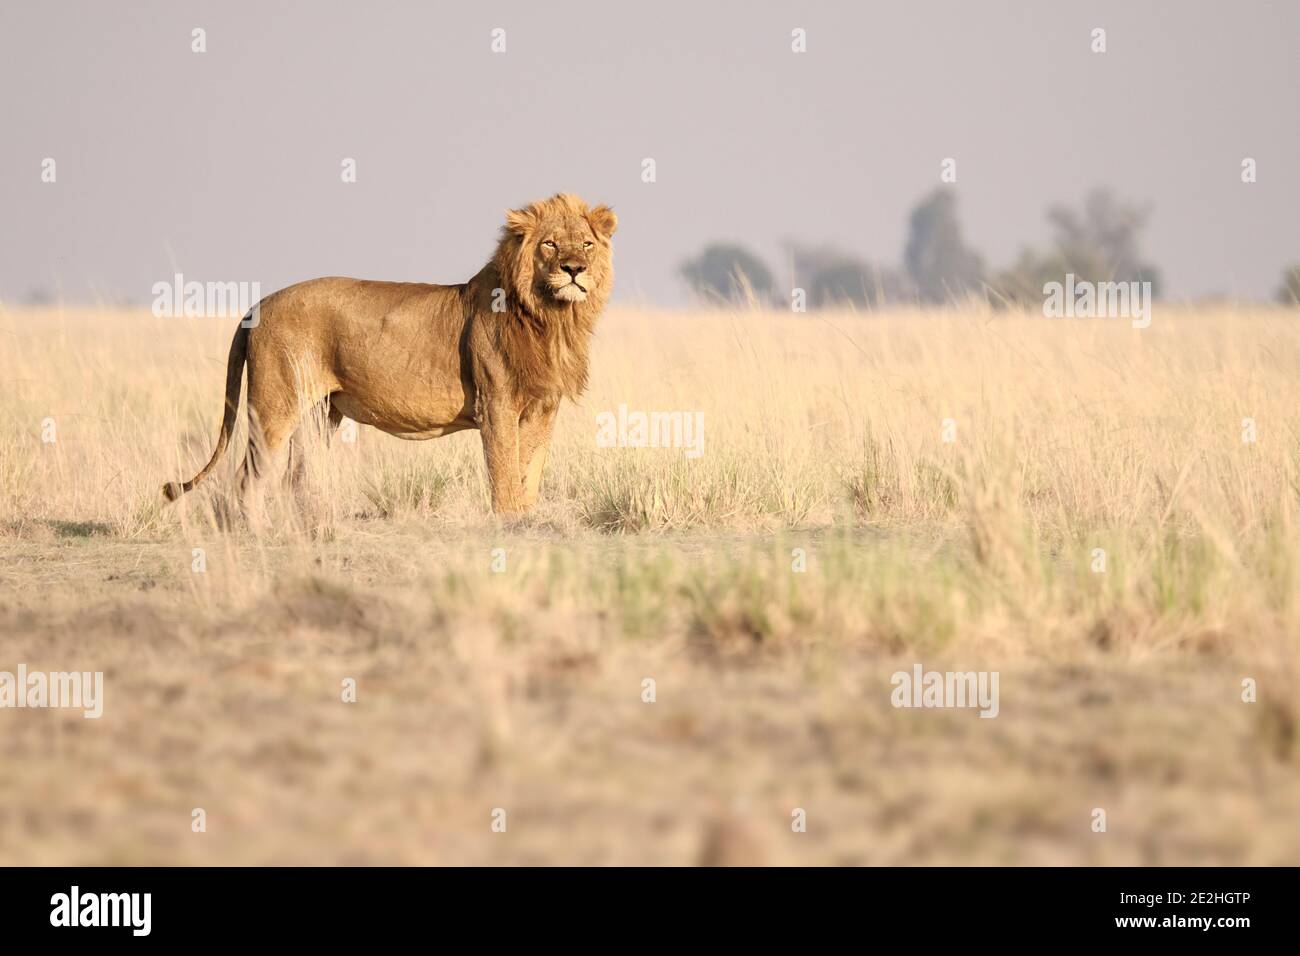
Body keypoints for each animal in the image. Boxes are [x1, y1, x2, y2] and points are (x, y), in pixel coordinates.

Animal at [159, 193, 616, 515]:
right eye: (550, 245)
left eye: (587, 245)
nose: (574, 270)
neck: (552, 319)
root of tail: (259, 303)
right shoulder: (497, 404)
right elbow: (505, 475)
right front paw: (510, 524)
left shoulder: (543, 407)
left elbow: (530, 471)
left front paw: (527, 518)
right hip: (274, 406)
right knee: (249, 479)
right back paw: (260, 537)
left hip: (319, 413)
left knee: (298, 477)